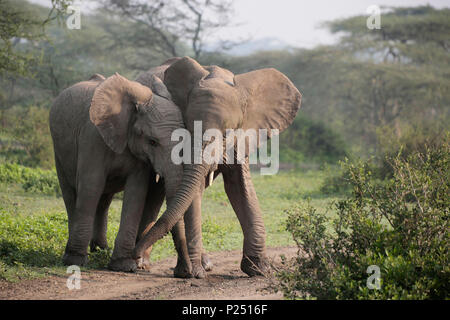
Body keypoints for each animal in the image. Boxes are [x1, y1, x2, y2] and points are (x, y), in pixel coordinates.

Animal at [48, 67, 197, 276]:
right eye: (152, 142)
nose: (185, 273)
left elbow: (136, 192)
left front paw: (123, 265)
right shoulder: (92, 137)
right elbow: (91, 185)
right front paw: (76, 260)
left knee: (104, 201)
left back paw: (101, 250)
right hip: (59, 150)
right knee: (71, 195)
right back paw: (76, 254)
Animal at [134, 56, 302, 276]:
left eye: (226, 133)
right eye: (187, 127)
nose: (135, 253)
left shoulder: (244, 134)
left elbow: (240, 187)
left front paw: (259, 269)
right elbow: (194, 191)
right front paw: (194, 272)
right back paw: (143, 264)